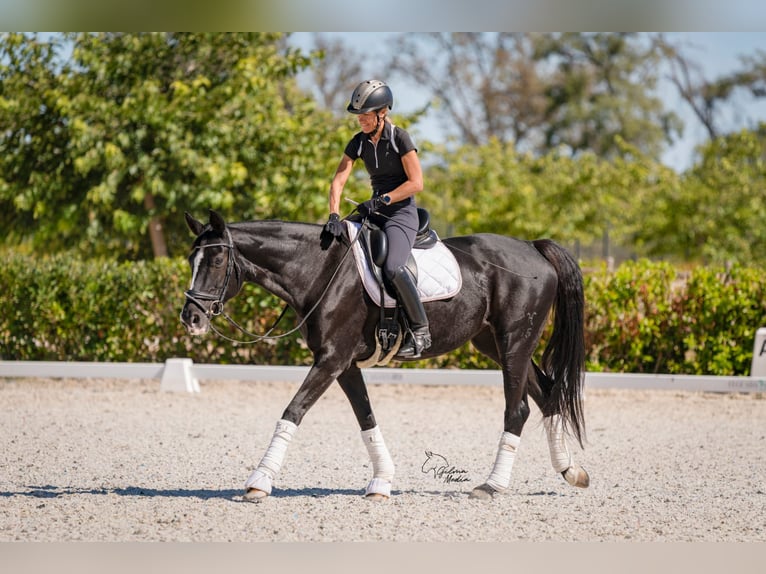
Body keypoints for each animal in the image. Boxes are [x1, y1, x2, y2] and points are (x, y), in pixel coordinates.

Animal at [183, 212, 592, 504]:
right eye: (191, 260)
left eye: (217, 260)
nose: (191, 318)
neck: (320, 269)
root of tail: (533, 247)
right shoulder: (344, 364)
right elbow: (366, 418)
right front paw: (381, 482)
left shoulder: (331, 360)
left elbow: (292, 412)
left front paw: (259, 482)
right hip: (494, 344)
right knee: (547, 395)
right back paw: (570, 471)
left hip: (514, 345)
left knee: (518, 409)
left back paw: (492, 485)